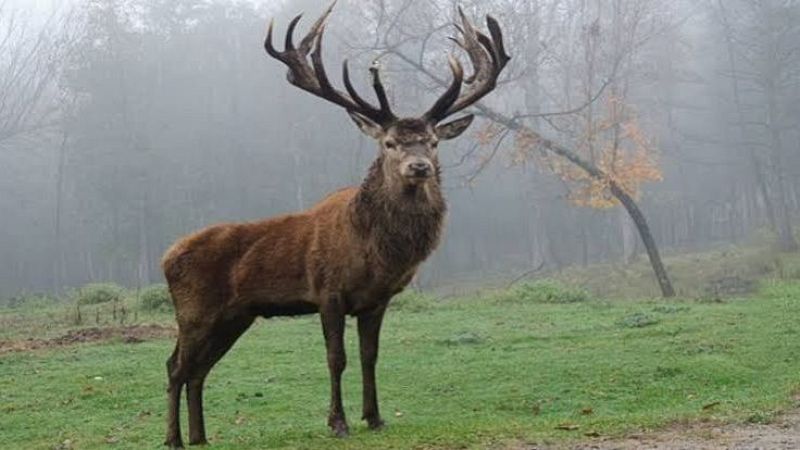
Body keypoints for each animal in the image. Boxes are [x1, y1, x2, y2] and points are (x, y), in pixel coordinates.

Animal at [161, 2, 509, 447]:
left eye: (433, 141)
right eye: (389, 143)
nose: (419, 167)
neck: (375, 252)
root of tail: (166, 257)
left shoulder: (377, 299)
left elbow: (370, 356)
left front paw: (375, 417)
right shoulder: (328, 291)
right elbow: (335, 358)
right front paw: (337, 422)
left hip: (235, 316)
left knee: (199, 370)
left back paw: (201, 437)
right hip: (194, 311)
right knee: (175, 366)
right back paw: (173, 438)